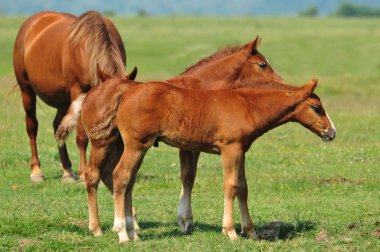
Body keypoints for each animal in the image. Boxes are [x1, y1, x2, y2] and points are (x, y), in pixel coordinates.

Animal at [13, 10, 127, 182]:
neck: (88, 47)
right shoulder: (78, 91)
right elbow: (81, 137)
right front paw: (83, 173)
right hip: (27, 90)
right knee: (32, 127)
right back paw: (36, 171)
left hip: (63, 98)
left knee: (57, 126)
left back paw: (67, 171)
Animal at [56, 37, 288, 236]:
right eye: (262, 65)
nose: (283, 84)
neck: (201, 88)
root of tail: (89, 94)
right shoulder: (189, 146)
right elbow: (188, 177)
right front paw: (186, 221)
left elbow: (187, 177)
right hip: (102, 142)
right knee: (94, 176)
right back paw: (98, 228)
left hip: (118, 144)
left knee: (109, 175)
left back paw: (127, 224)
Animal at [95, 79, 336, 242]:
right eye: (316, 108)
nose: (331, 133)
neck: (248, 106)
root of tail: (127, 94)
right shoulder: (230, 149)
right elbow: (230, 186)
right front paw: (230, 231)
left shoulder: (241, 151)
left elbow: (243, 188)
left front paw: (251, 231)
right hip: (136, 145)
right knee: (120, 176)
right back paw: (122, 233)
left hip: (138, 148)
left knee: (129, 182)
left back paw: (133, 234)